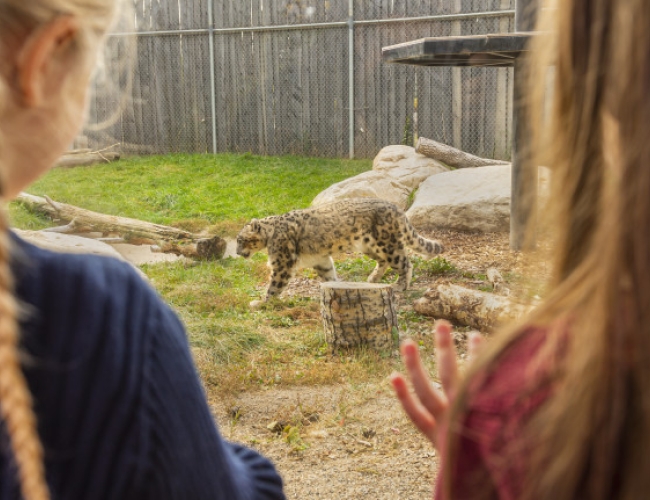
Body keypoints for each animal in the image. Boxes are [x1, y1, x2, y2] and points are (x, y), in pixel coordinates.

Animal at [235, 198, 442, 300]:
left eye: (240, 240)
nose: (236, 252)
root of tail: (397, 208)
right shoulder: (320, 260)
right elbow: (329, 275)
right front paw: (336, 287)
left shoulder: (282, 263)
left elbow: (275, 284)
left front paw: (263, 303)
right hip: (369, 245)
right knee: (383, 261)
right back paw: (372, 279)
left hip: (388, 244)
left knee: (405, 262)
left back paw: (400, 285)